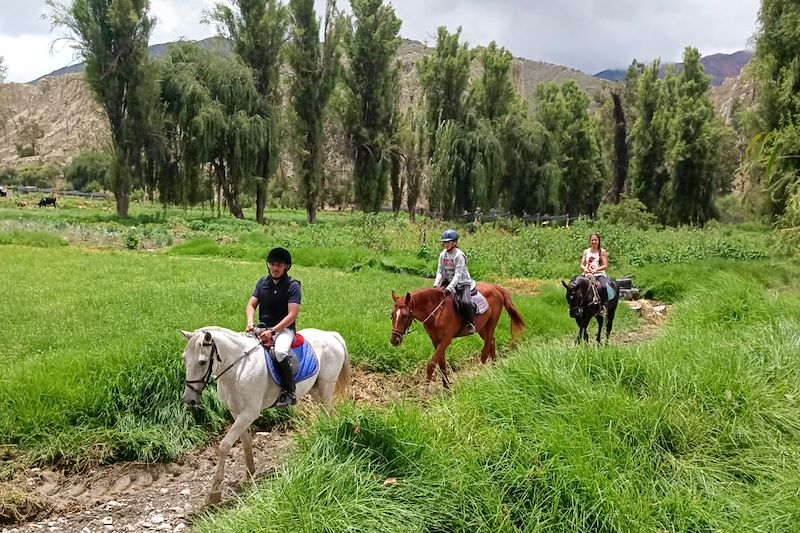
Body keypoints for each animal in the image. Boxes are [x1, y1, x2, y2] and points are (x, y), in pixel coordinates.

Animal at [181, 324, 350, 502]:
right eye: (184, 359)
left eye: (202, 362)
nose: (189, 399)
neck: (238, 369)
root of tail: (331, 335)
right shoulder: (236, 413)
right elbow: (246, 442)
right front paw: (248, 476)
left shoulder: (249, 413)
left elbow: (224, 445)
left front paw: (214, 493)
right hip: (314, 390)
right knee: (328, 414)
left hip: (325, 387)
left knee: (329, 412)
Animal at [390, 282, 524, 386]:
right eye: (392, 315)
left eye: (405, 315)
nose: (394, 340)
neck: (437, 312)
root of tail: (496, 288)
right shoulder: (435, 341)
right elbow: (442, 364)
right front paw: (446, 388)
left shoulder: (445, 340)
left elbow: (431, 365)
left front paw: (424, 397)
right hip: (482, 328)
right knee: (492, 342)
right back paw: (494, 369)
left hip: (491, 324)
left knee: (485, 350)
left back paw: (481, 375)